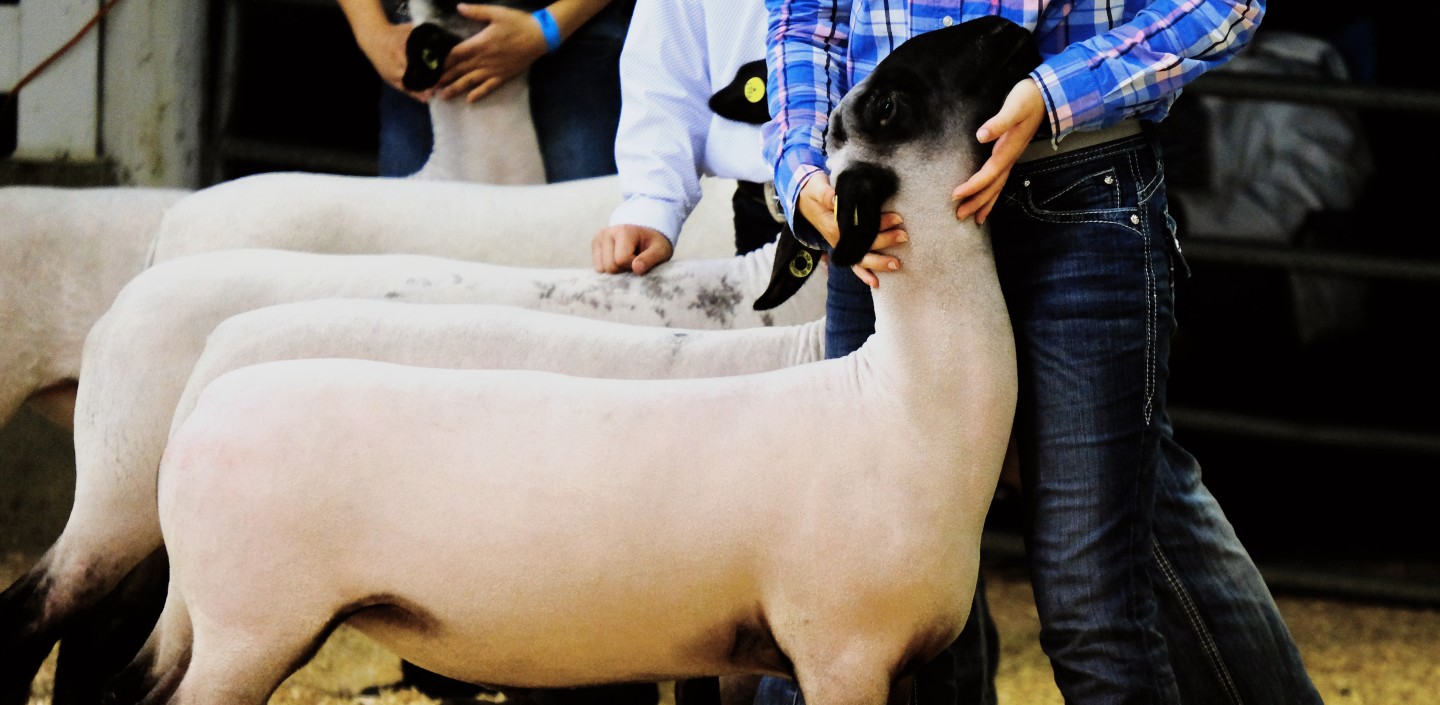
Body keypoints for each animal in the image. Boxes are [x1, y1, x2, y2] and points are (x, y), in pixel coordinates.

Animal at [105, 17, 1036, 705]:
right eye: (890, 105)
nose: (1007, 29)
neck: (901, 400)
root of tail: (205, 406)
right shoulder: (841, 648)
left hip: (216, 617)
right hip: (250, 622)